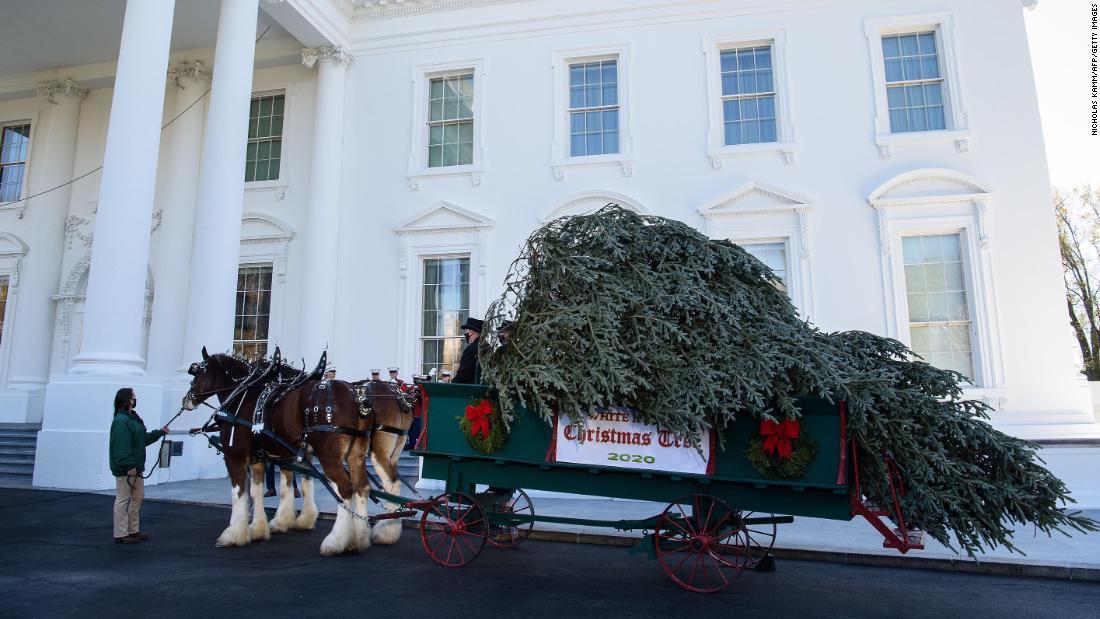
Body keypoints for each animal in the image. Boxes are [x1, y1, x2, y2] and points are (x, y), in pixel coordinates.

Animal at [184, 349, 413, 556]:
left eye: (198, 373)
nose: (187, 400)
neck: (244, 394)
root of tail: (360, 398)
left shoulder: (236, 456)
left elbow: (240, 493)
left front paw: (233, 533)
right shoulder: (277, 456)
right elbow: (283, 486)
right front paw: (269, 525)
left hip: (338, 455)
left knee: (347, 489)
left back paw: (337, 540)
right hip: (362, 453)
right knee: (369, 486)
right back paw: (365, 536)